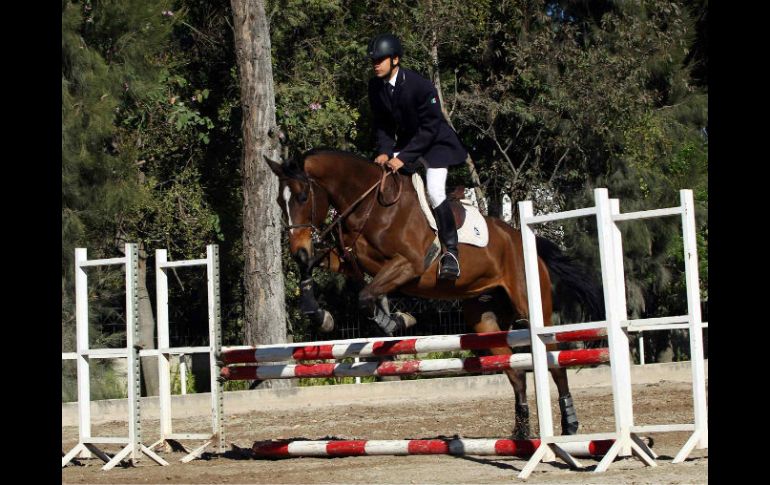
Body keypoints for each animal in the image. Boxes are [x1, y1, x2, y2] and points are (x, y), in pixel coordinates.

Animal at [264, 148, 600, 438]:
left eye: (303, 196)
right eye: (281, 202)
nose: (297, 249)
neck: (371, 205)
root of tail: (522, 239)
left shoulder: (409, 264)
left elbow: (366, 296)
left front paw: (398, 321)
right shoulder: (349, 260)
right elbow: (322, 271)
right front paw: (321, 315)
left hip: (532, 307)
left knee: (554, 362)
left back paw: (569, 425)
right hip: (485, 320)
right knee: (515, 372)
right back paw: (520, 433)